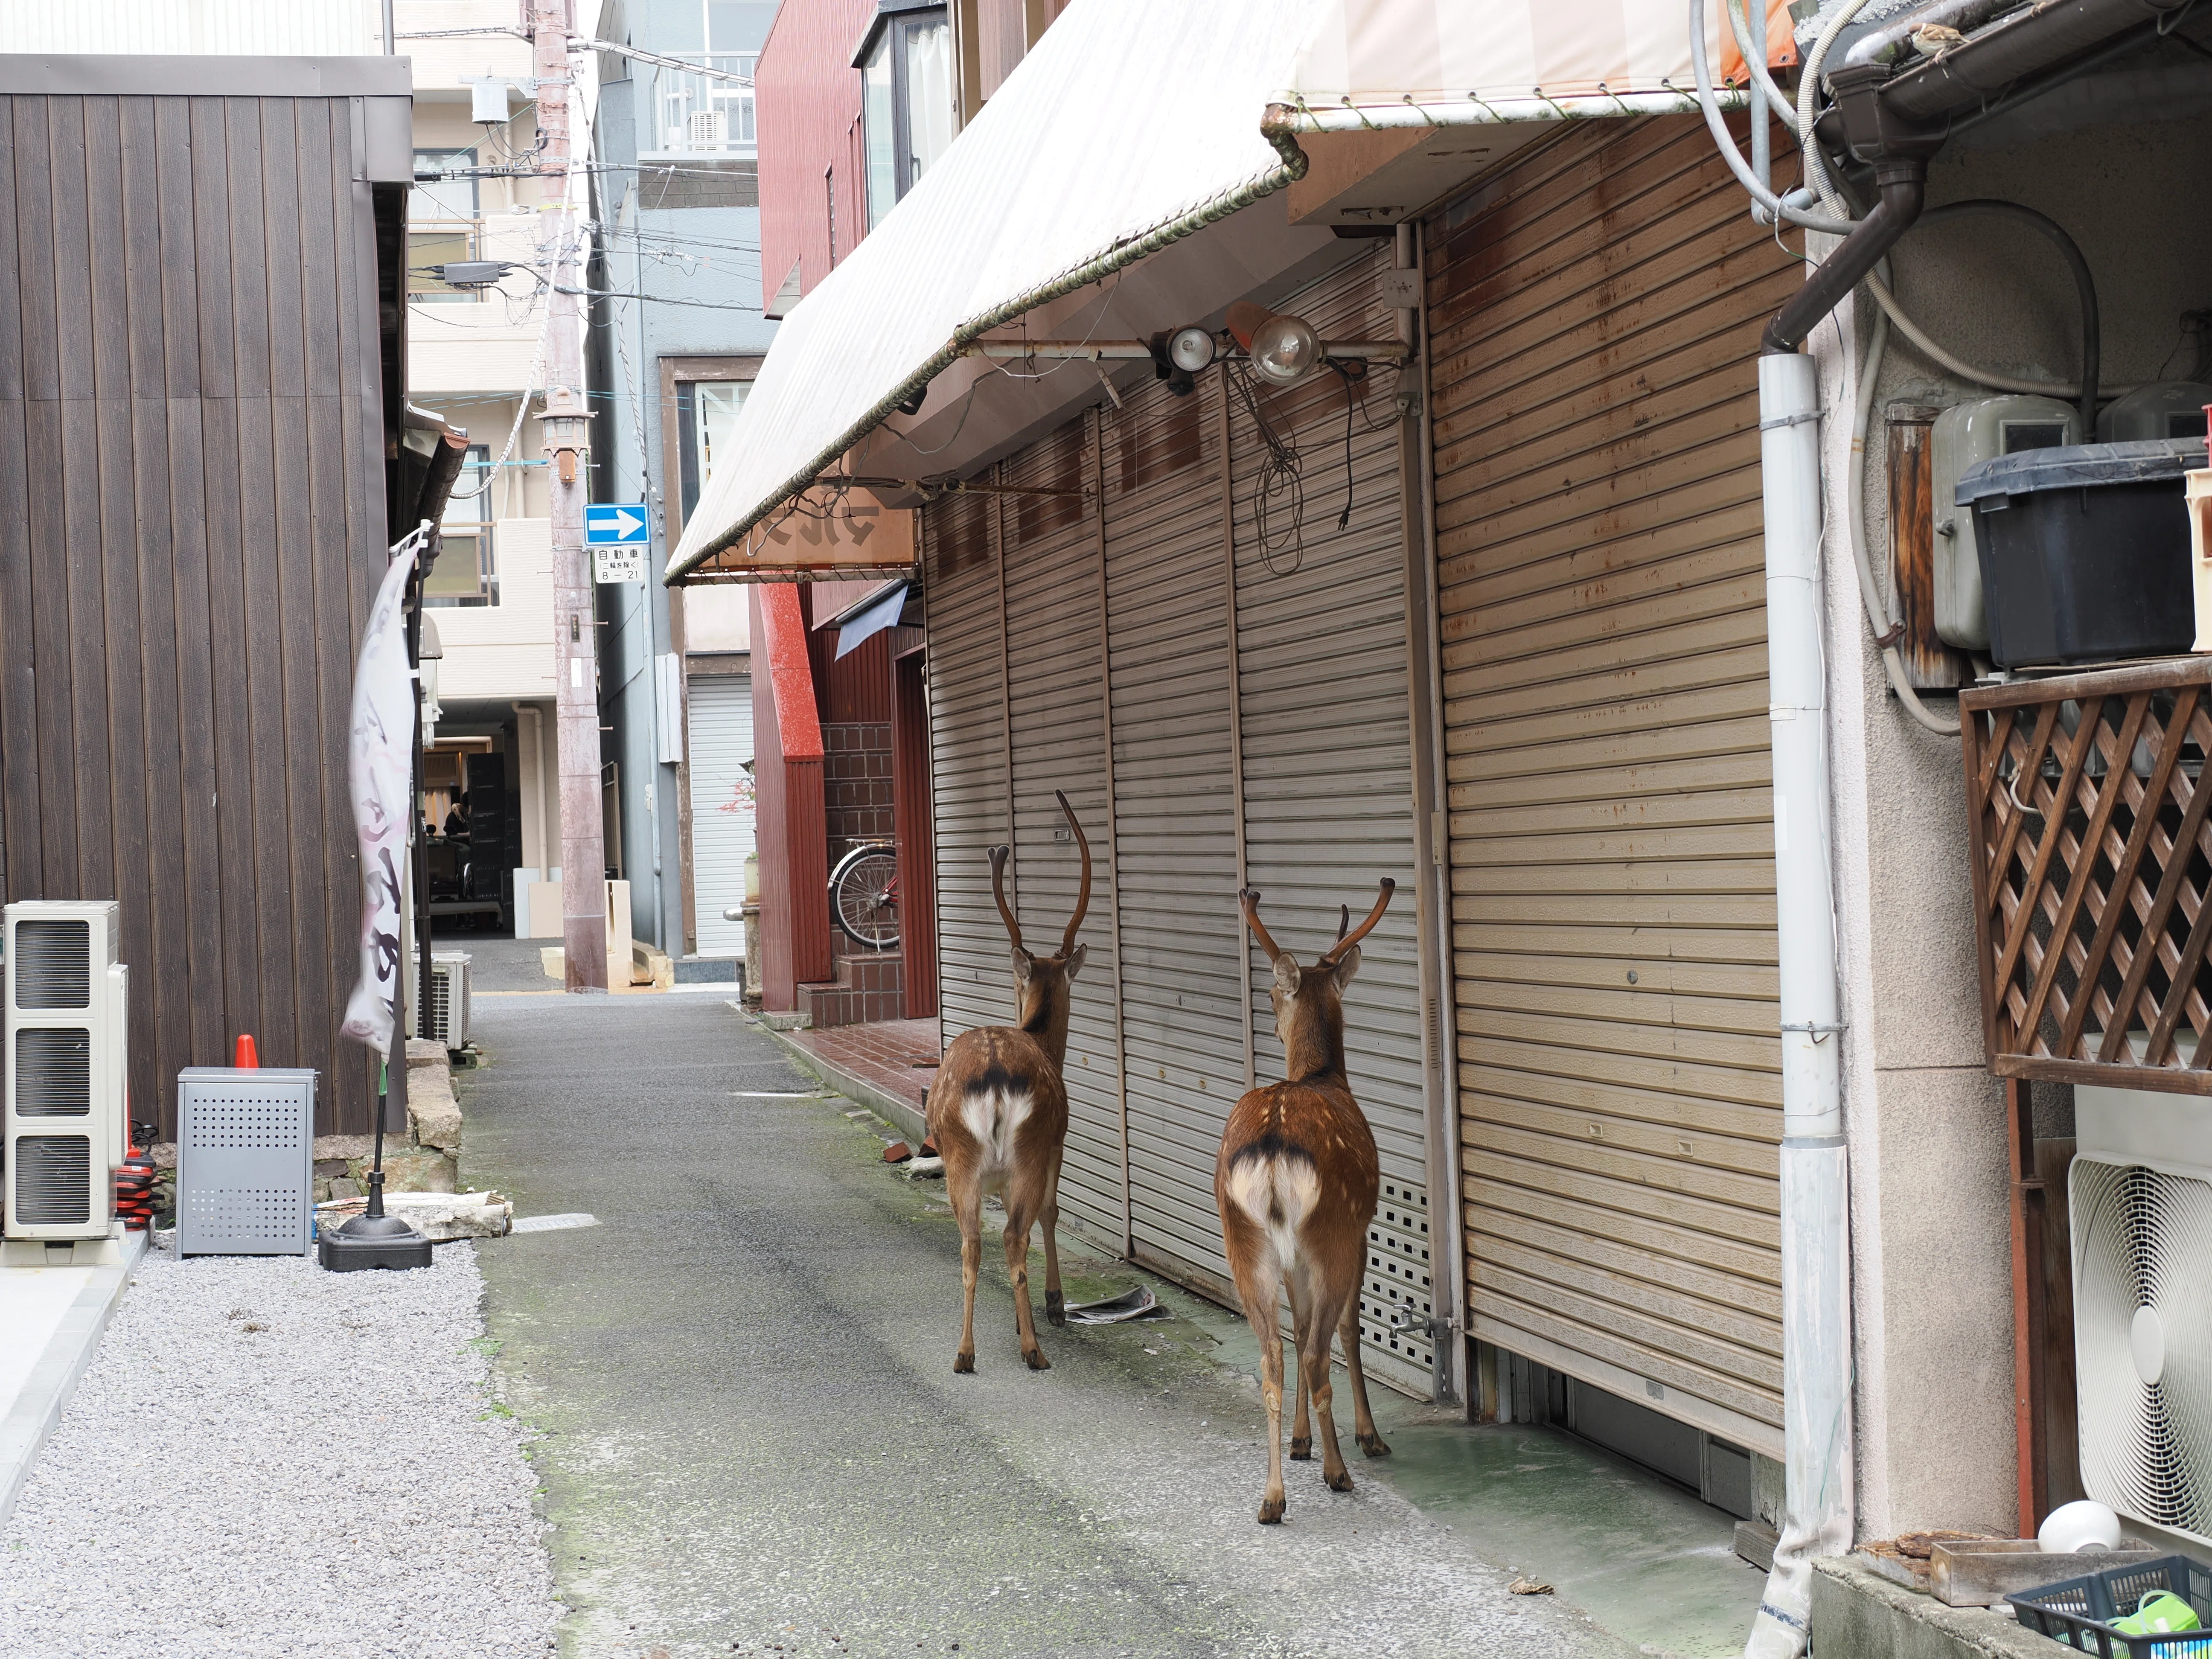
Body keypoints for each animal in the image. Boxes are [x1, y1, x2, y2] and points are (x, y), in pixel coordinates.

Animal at [926, 790, 1091, 1374]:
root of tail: (996, 1078)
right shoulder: (1059, 1144)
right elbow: (1053, 1212)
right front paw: (1055, 1304)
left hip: (960, 1158)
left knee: (972, 1244)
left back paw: (964, 1352)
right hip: (1031, 1148)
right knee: (1016, 1236)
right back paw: (1033, 1349)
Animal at [1216, 879, 1396, 1524]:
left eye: (1271, 996)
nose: (1272, 1022)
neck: (1324, 1075)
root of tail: (1271, 1151)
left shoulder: (1291, 1261)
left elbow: (1294, 1331)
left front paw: (1298, 1442)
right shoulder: (1361, 1230)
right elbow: (1347, 1329)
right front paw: (1366, 1437)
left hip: (1244, 1241)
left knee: (1271, 1355)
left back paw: (1272, 1497)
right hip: (1330, 1230)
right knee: (1321, 1352)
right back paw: (1339, 1471)